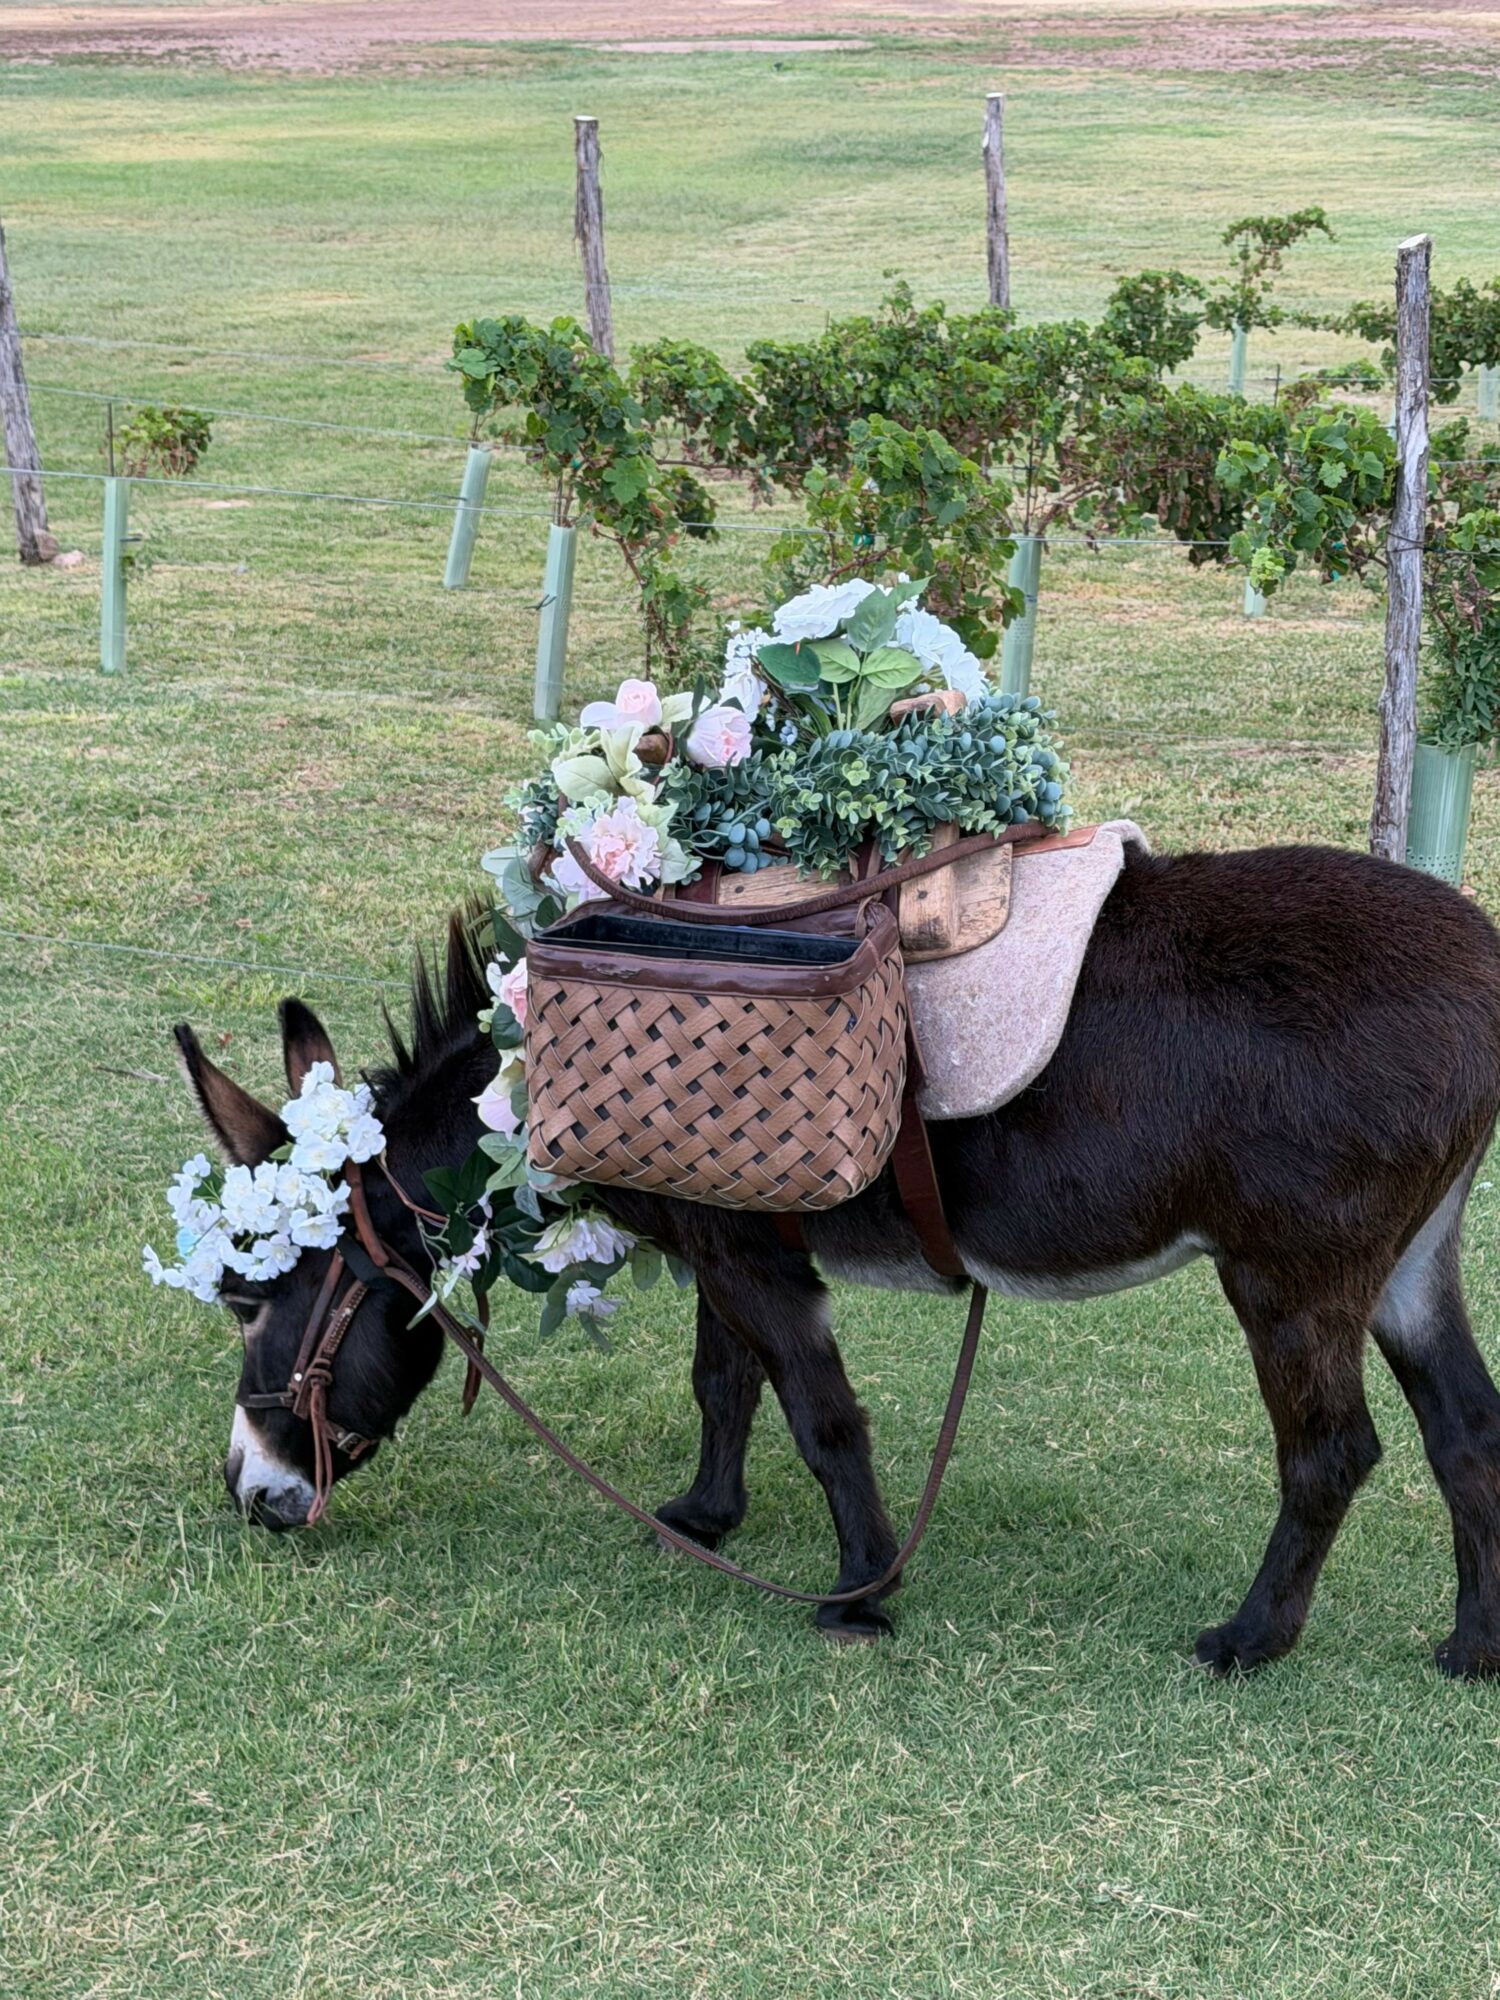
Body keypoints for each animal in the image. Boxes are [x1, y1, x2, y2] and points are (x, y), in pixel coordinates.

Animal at [174, 840, 1500, 1677]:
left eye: (251, 1299)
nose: (253, 1497)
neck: (535, 1065)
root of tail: (1484, 970)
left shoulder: (750, 1258)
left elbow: (819, 1411)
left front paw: (859, 1589)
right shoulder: (720, 1234)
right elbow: (725, 1382)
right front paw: (706, 1516)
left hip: (1290, 1271)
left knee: (1334, 1449)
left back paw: (1250, 1639)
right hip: (1408, 1261)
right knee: (1465, 1427)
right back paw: (1471, 1649)